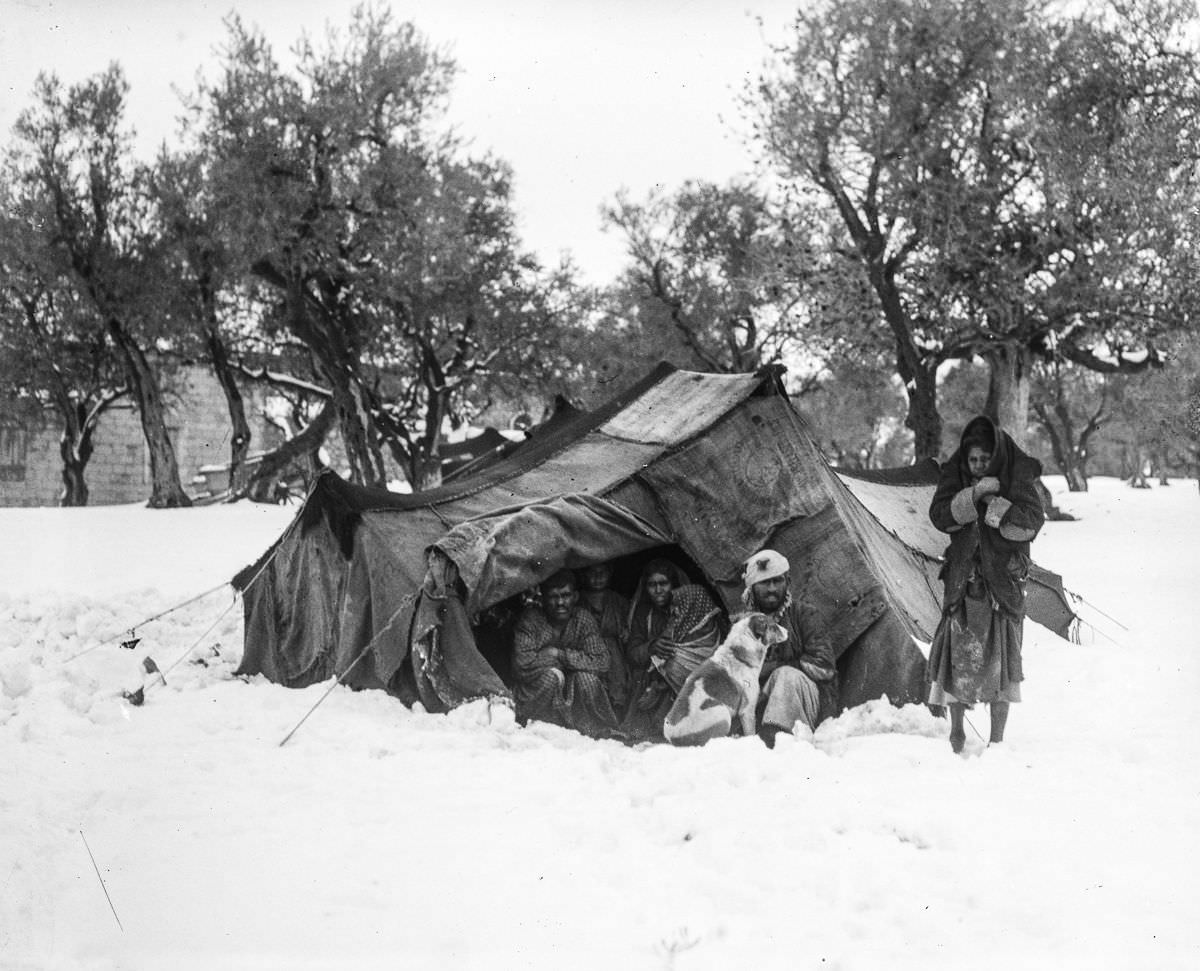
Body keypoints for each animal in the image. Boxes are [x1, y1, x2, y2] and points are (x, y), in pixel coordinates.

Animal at [662, 614, 782, 744]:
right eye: (774, 626)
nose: (787, 631)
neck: (736, 654)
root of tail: (671, 738)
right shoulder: (747, 710)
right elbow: (750, 732)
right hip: (722, 712)